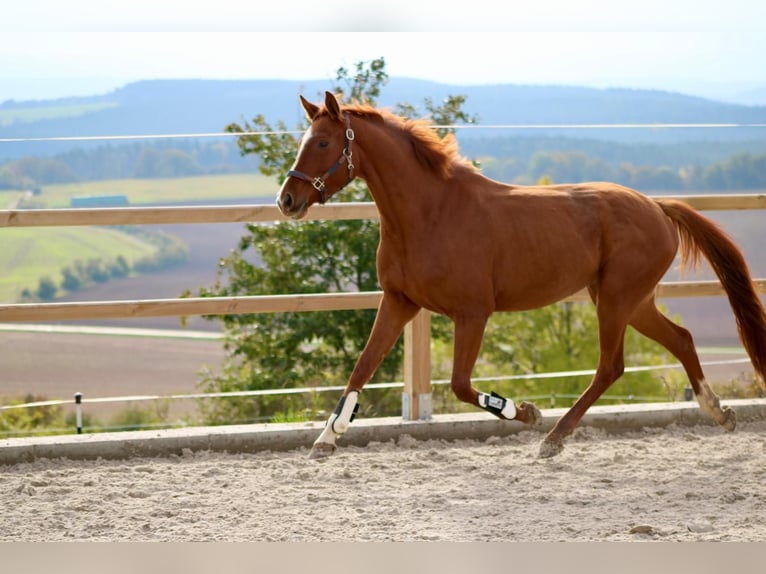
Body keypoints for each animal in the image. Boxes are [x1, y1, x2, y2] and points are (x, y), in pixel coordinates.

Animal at [276, 92, 766, 462]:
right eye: (306, 140)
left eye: (323, 143)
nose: (287, 200)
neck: (430, 213)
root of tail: (658, 207)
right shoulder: (399, 301)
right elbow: (363, 365)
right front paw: (326, 439)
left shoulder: (472, 313)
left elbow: (460, 385)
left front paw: (527, 412)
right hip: (632, 300)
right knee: (681, 339)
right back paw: (719, 413)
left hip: (616, 299)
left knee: (611, 366)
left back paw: (553, 438)